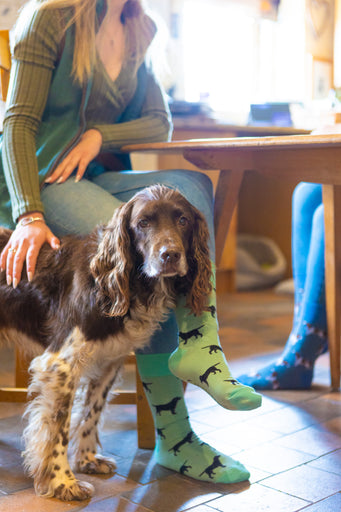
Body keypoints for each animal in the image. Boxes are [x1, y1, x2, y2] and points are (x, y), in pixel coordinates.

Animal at [0, 184, 211, 500]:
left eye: (183, 220)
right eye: (143, 223)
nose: (170, 255)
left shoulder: (109, 361)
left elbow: (91, 413)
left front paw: (87, 460)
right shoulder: (60, 365)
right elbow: (59, 429)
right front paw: (63, 483)